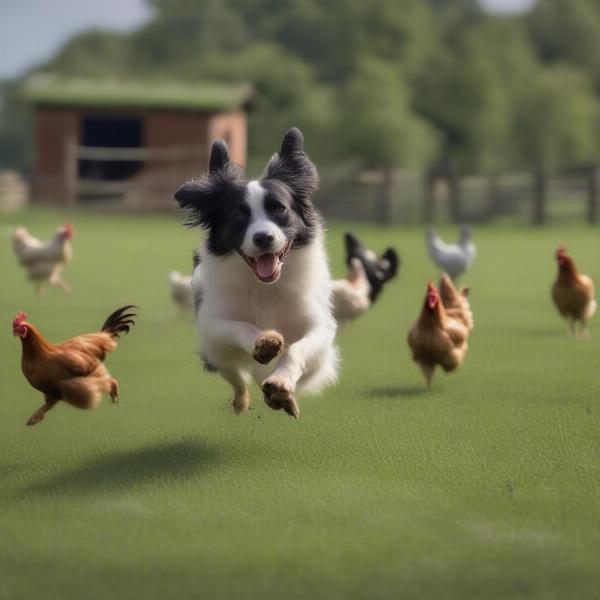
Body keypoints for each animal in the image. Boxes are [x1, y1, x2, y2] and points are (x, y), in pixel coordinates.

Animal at [176, 127, 340, 418]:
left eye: (280, 209)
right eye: (238, 215)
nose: (263, 237)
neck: (266, 287)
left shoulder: (319, 328)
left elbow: (297, 349)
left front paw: (280, 383)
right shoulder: (212, 326)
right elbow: (239, 326)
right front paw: (263, 342)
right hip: (217, 358)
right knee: (236, 377)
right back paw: (241, 401)